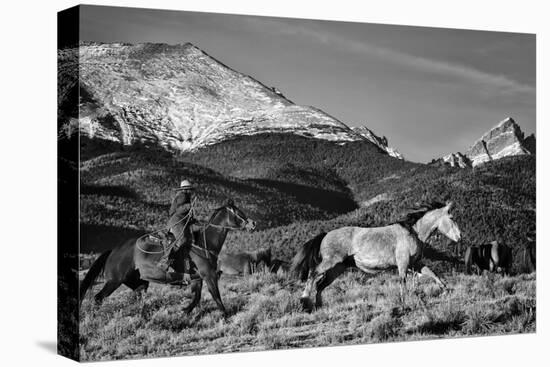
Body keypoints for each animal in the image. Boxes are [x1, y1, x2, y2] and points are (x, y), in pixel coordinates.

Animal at [81, 201, 258, 316]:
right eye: (239, 213)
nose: (253, 224)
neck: (205, 244)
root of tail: (114, 250)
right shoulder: (209, 275)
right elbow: (216, 296)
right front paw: (225, 315)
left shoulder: (197, 278)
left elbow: (196, 298)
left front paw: (185, 311)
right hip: (114, 281)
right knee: (98, 298)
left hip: (137, 281)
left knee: (138, 295)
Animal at [294, 203, 462, 312]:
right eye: (452, 217)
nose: (460, 237)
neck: (412, 232)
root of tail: (325, 234)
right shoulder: (404, 263)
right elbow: (403, 282)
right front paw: (403, 303)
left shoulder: (415, 263)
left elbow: (432, 273)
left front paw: (446, 290)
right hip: (330, 263)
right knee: (313, 274)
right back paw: (304, 301)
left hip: (337, 269)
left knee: (320, 285)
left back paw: (318, 306)